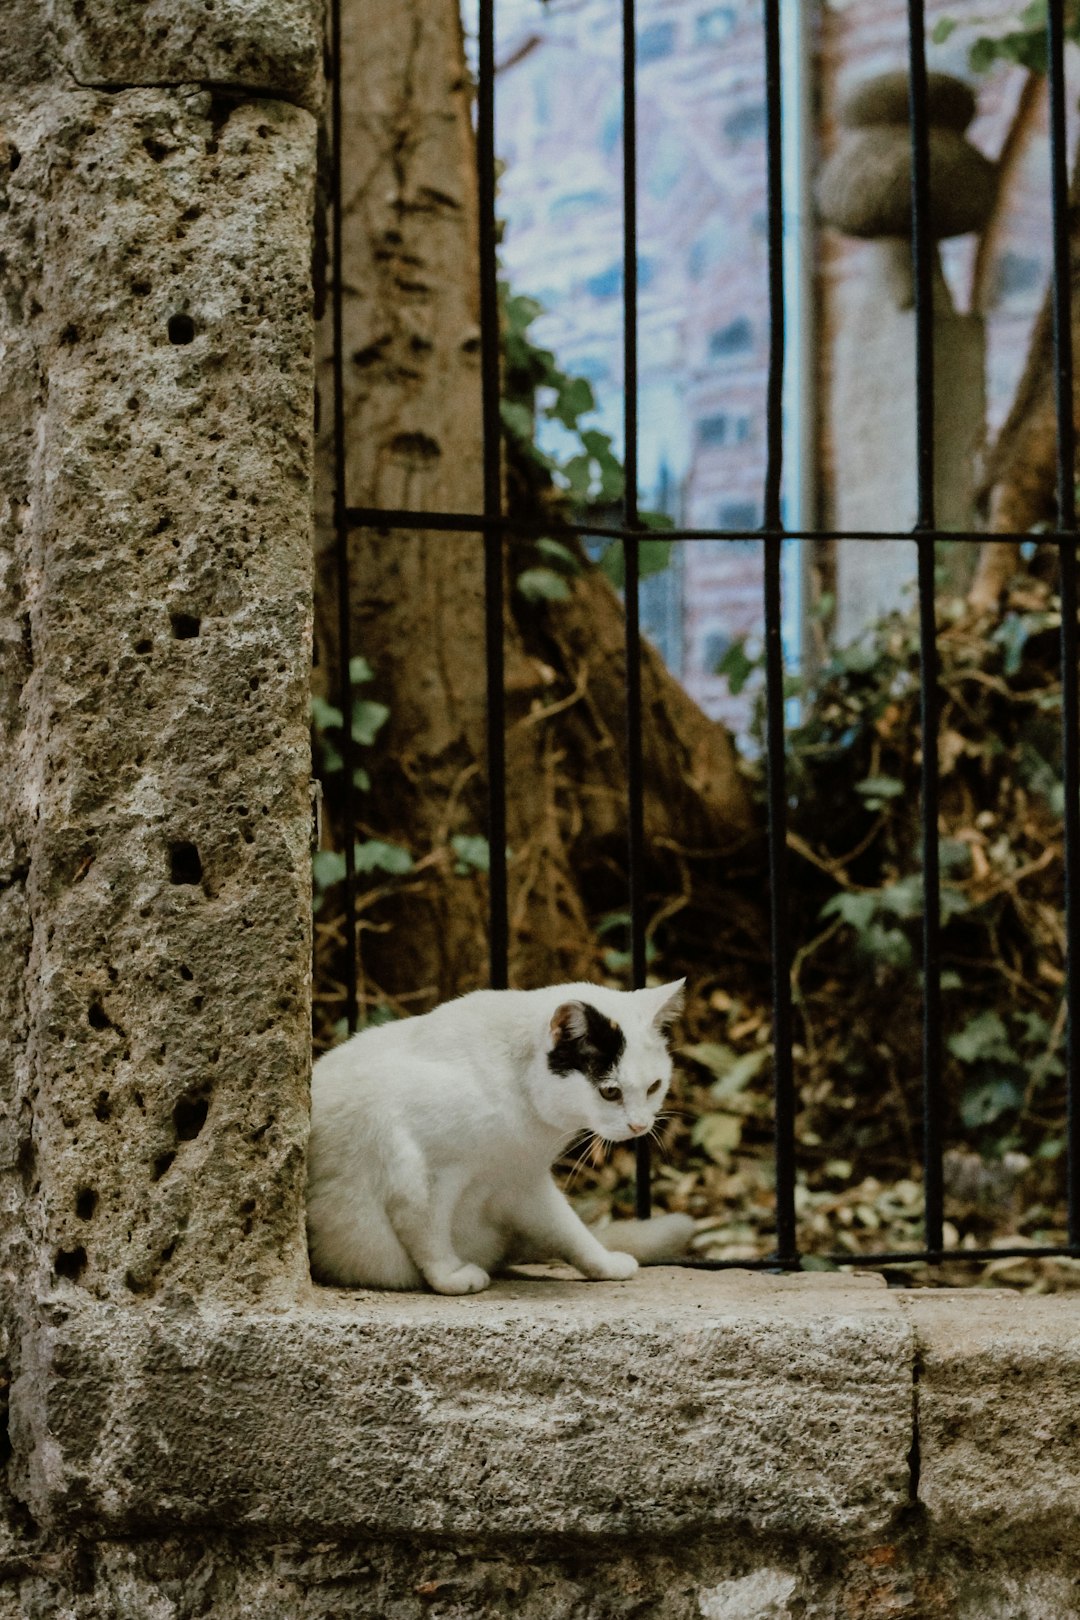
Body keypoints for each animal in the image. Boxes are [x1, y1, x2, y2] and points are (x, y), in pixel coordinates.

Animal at [304, 978, 693, 1296]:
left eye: (654, 1086)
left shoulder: (522, 1181)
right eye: (610, 1092)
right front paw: (449, 1276)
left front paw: (604, 1263)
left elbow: (571, 1229)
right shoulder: (424, 1173)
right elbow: (428, 1232)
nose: (640, 1126)